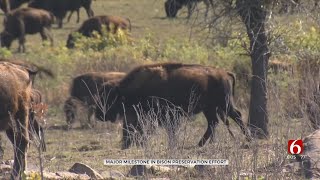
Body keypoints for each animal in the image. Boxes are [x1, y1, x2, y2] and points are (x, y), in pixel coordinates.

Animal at [95, 62, 252, 150]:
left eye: (108, 97)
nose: (99, 114)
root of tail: (224, 73)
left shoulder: (165, 115)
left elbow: (167, 129)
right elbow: (132, 128)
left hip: (224, 104)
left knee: (236, 116)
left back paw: (248, 139)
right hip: (209, 108)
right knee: (213, 123)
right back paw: (200, 144)